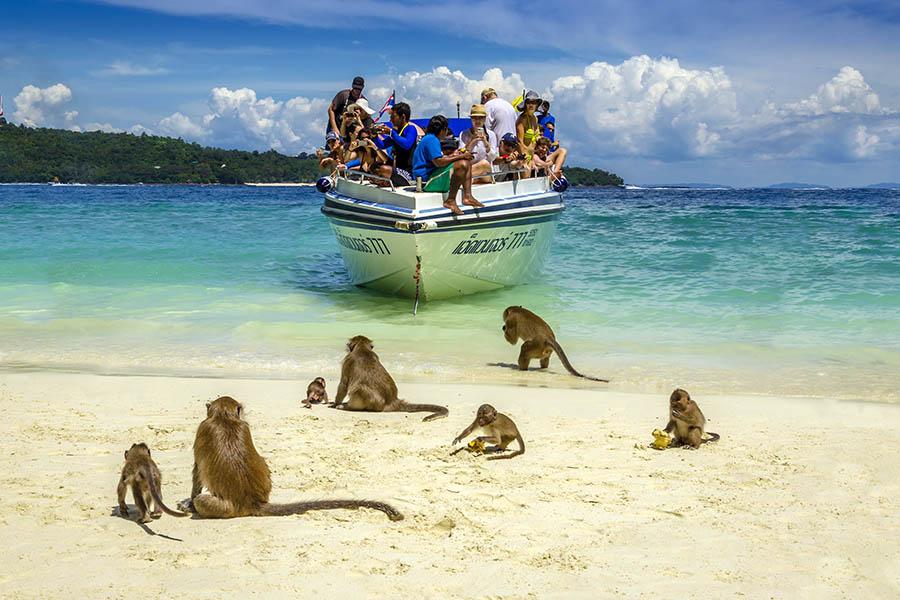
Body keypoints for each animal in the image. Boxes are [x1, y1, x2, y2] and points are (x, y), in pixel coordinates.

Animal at [178, 396, 403, 521]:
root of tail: (253, 502)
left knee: (202, 499)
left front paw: (189, 503)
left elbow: (197, 473)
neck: (224, 417)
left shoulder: (202, 429)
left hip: (224, 508)